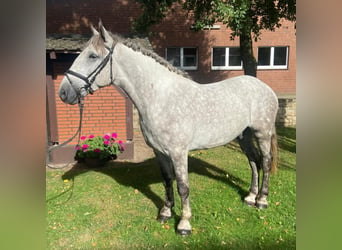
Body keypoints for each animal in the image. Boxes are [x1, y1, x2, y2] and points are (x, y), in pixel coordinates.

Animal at [58, 22, 278, 236]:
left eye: (92, 56)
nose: (63, 93)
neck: (160, 97)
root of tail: (265, 87)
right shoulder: (160, 151)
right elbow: (167, 180)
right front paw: (165, 212)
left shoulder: (178, 153)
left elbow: (183, 186)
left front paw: (184, 223)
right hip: (243, 136)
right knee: (253, 161)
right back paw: (250, 197)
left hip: (262, 134)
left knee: (265, 162)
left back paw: (262, 200)